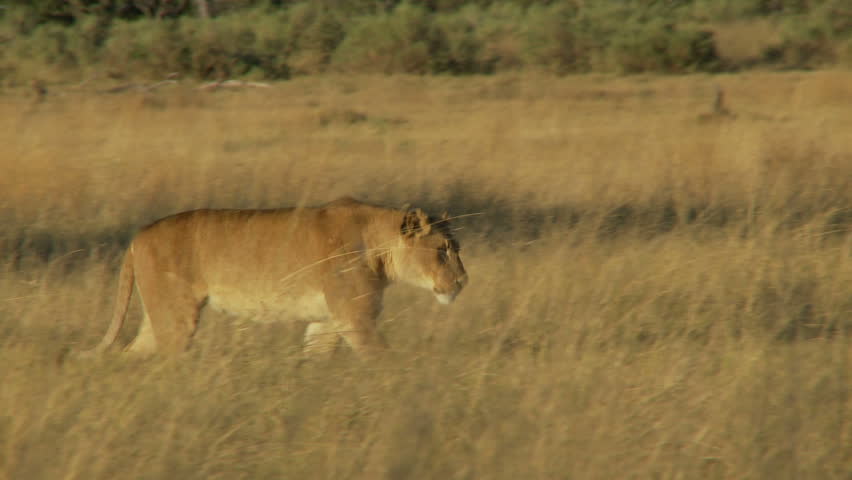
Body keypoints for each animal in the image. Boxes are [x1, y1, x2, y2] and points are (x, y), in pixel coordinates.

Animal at [82, 197, 468, 357]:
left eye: (457, 247)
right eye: (443, 249)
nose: (463, 281)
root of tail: (139, 234)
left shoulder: (327, 322)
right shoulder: (355, 319)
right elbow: (385, 362)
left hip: (157, 316)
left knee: (130, 354)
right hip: (175, 319)